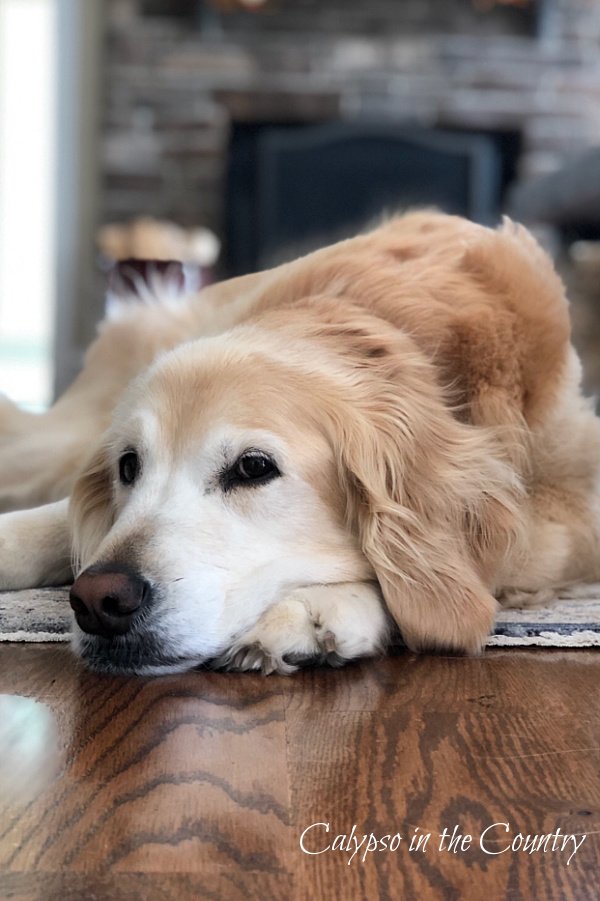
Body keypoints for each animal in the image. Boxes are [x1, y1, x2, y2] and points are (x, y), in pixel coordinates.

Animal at [1, 213, 600, 676]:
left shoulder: (568, 510)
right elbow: (55, 522)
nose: (99, 601)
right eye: (128, 467)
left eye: (253, 467)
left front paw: (317, 606)